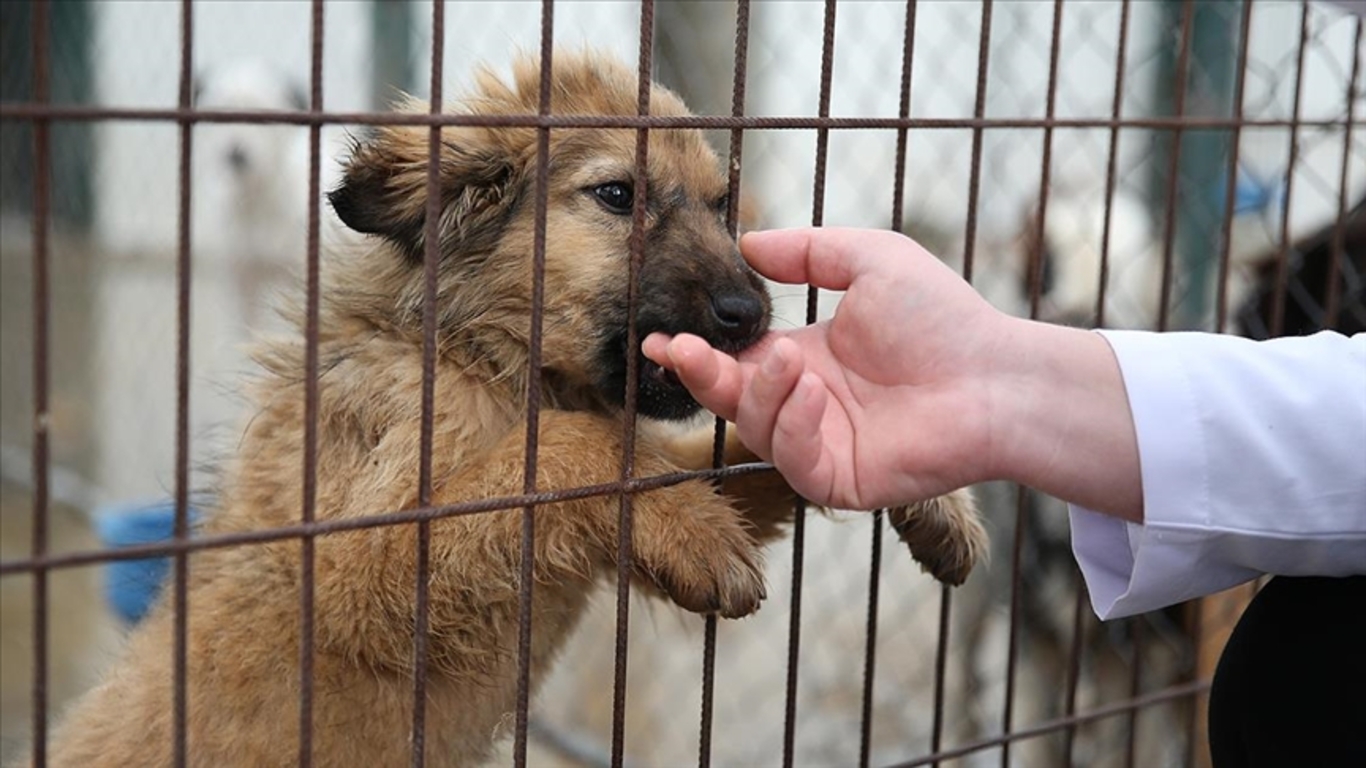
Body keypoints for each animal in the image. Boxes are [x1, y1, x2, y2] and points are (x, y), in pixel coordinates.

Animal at [37, 50, 988, 759]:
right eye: (618, 195)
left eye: (723, 206)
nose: (748, 318)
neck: (487, 360)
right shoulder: (357, 565)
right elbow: (571, 449)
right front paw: (695, 533)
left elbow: (718, 461)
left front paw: (925, 485)